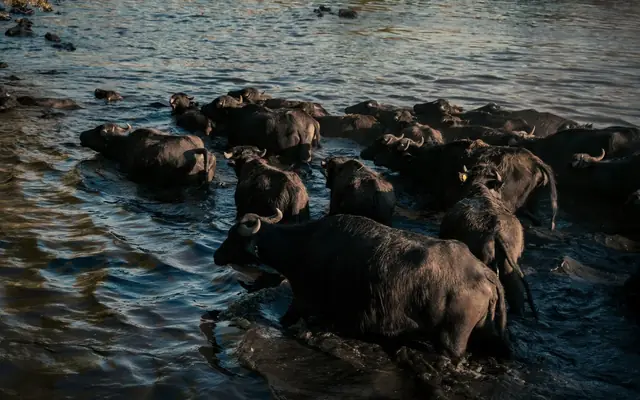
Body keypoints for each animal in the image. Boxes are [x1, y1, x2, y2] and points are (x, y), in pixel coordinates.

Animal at [214, 211, 510, 360]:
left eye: (232, 235)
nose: (216, 256)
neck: (303, 245)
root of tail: (486, 273)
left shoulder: (303, 302)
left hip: (452, 341)